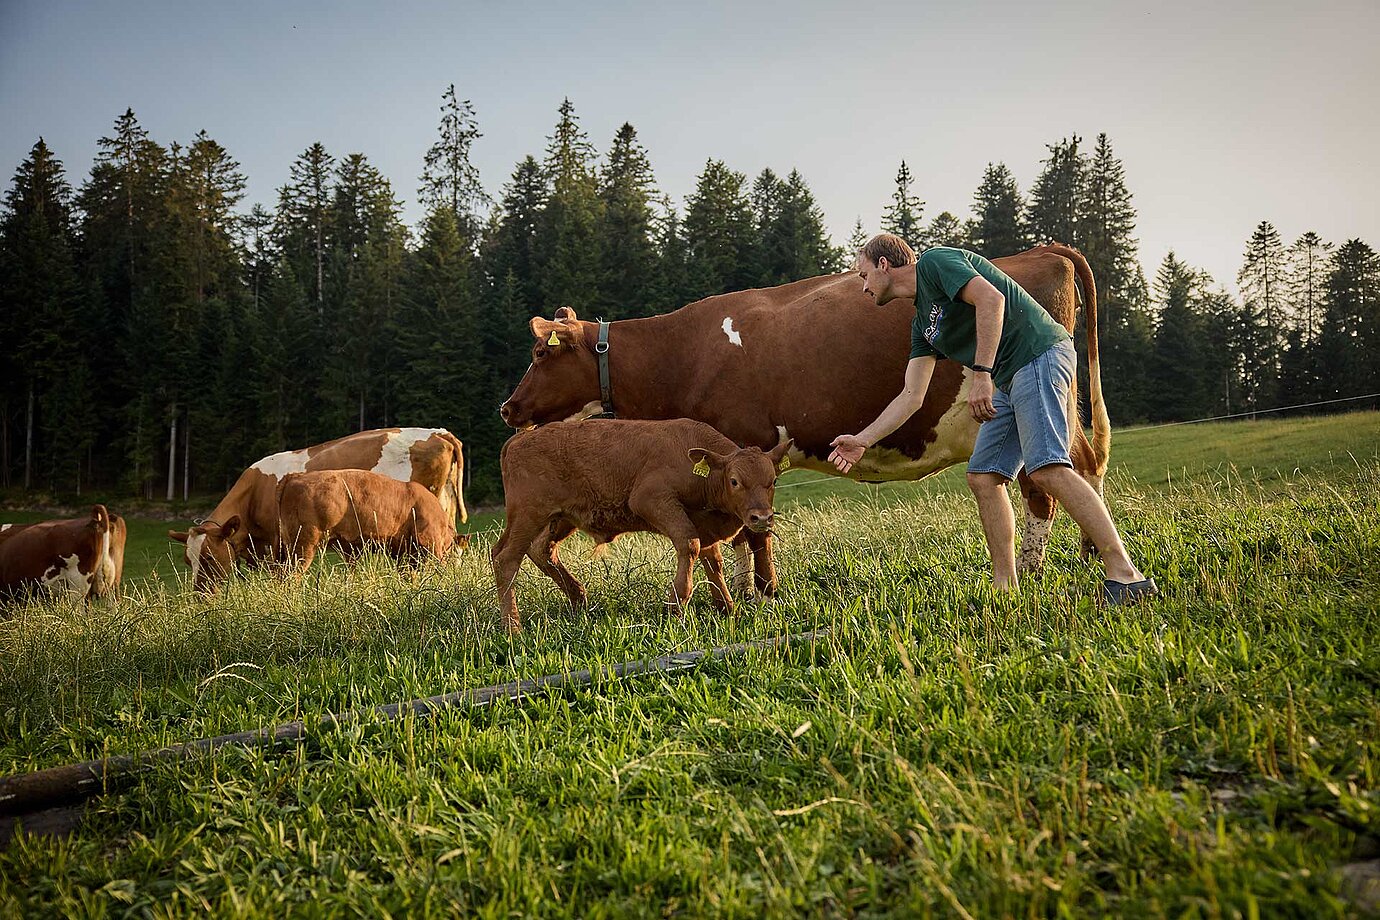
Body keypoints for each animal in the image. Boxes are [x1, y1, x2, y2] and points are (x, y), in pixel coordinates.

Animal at [494, 419, 794, 628]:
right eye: (734, 481)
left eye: (773, 481)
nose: (762, 518)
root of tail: (521, 438)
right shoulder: (651, 499)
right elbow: (690, 544)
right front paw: (676, 603)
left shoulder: (704, 523)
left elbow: (713, 561)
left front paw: (726, 607)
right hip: (528, 515)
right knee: (505, 559)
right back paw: (512, 627)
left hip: (560, 518)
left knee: (540, 550)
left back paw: (578, 598)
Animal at [499, 242, 1109, 590]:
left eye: (539, 354)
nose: (508, 408)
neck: (681, 354)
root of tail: (1041, 251)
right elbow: (741, 529)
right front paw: (750, 591)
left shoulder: (745, 440)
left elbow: (752, 530)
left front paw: (760, 594)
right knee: (1079, 468)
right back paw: (1085, 557)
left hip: (1027, 408)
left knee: (1050, 484)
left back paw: (1038, 569)